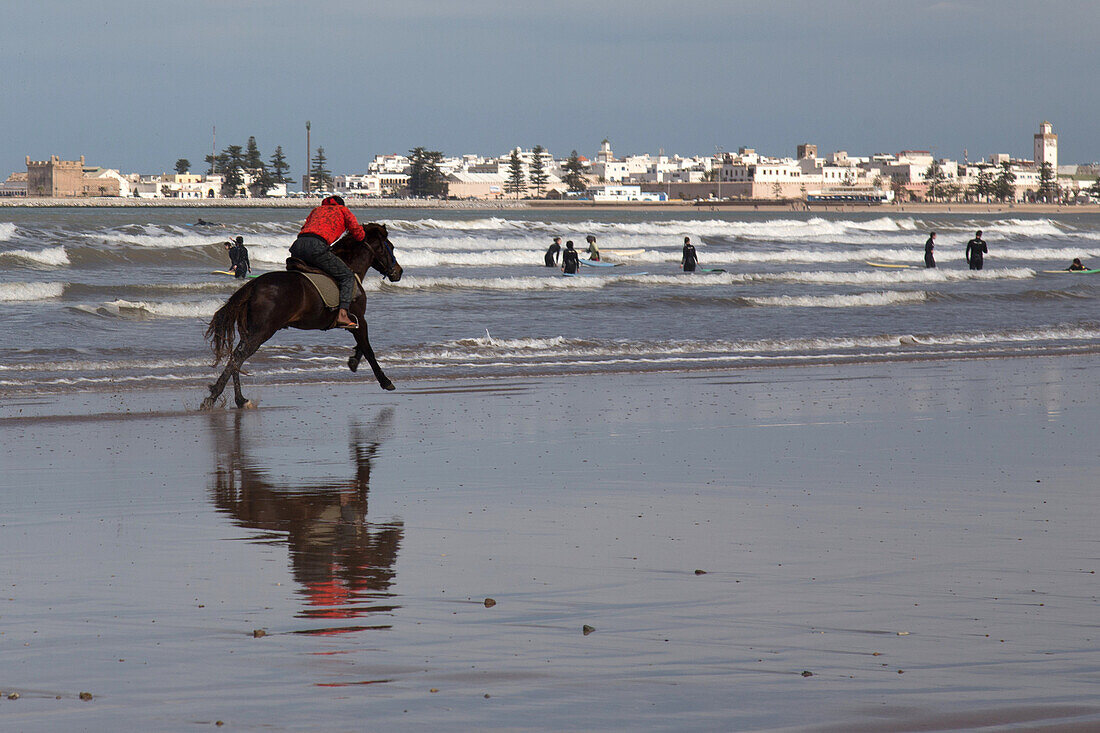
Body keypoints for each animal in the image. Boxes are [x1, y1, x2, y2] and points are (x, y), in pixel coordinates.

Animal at [200, 220, 402, 407]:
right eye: (391, 247)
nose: (398, 272)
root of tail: (254, 284)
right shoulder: (359, 319)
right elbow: (368, 350)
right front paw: (385, 381)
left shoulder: (357, 323)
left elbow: (363, 346)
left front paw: (353, 361)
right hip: (260, 333)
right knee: (237, 358)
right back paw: (220, 397)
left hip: (249, 332)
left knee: (235, 358)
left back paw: (237, 399)